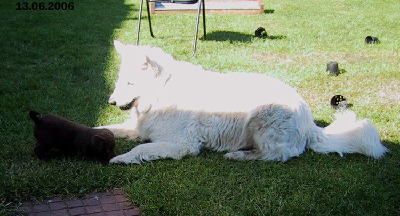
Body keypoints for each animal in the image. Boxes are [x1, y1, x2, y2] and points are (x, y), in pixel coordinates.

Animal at [98, 40, 390, 164]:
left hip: (263, 118)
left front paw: (122, 158)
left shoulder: (181, 144)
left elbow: (140, 149)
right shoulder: (141, 128)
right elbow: (108, 129)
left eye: (130, 83)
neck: (162, 91)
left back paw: (239, 155)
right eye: (120, 80)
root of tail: (309, 123)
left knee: (278, 155)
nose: (110, 101)